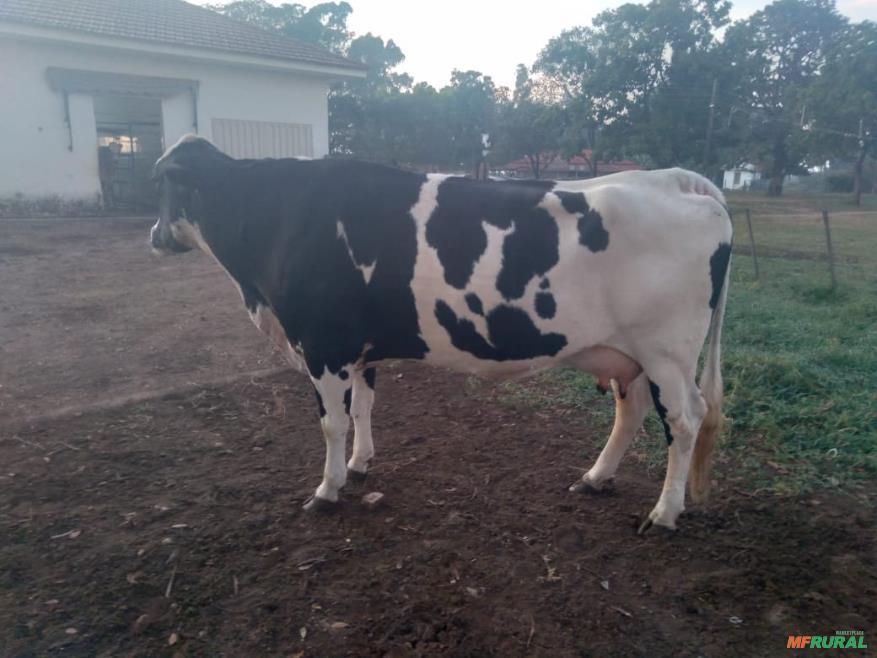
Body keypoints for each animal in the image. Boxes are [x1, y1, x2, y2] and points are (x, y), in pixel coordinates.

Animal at [150, 135, 732, 533]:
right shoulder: (361, 350)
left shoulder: (324, 345)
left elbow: (332, 424)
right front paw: (361, 464)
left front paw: (327, 488)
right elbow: (362, 409)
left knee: (684, 421)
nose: (154, 235)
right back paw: (594, 478)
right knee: (631, 411)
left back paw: (664, 513)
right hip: (625, 353)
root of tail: (671, 179)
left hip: (667, 353)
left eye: (165, 184)